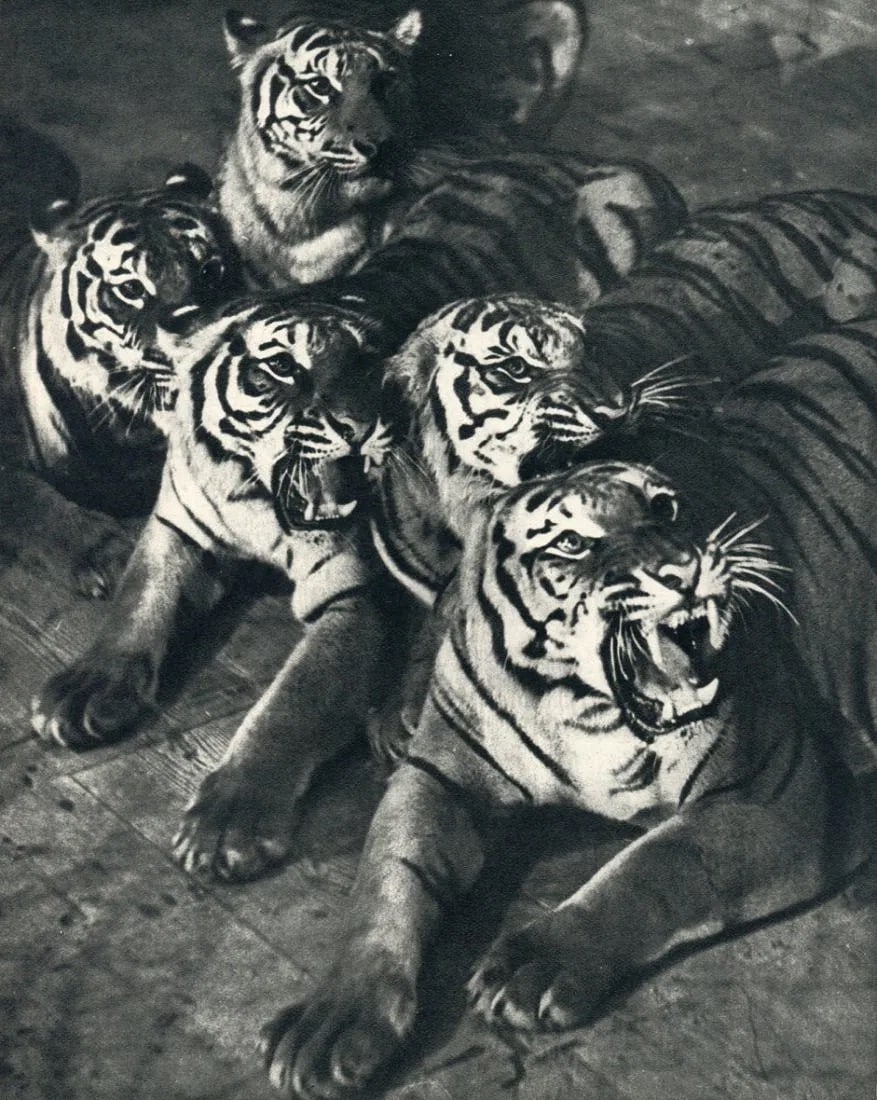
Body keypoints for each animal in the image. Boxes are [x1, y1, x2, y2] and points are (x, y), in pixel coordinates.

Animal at [31, 150, 688, 883]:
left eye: (366, 362)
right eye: (282, 369)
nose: (356, 427)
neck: (249, 488)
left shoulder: (354, 595)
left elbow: (289, 703)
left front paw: (229, 819)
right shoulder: (177, 529)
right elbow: (136, 603)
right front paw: (86, 688)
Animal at [260, 317, 877, 1100]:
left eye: (666, 507)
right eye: (573, 542)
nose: (684, 570)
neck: (580, 702)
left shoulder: (773, 794)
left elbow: (656, 863)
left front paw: (535, 964)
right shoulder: (437, 779)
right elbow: (385, 886)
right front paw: (334, 1016)